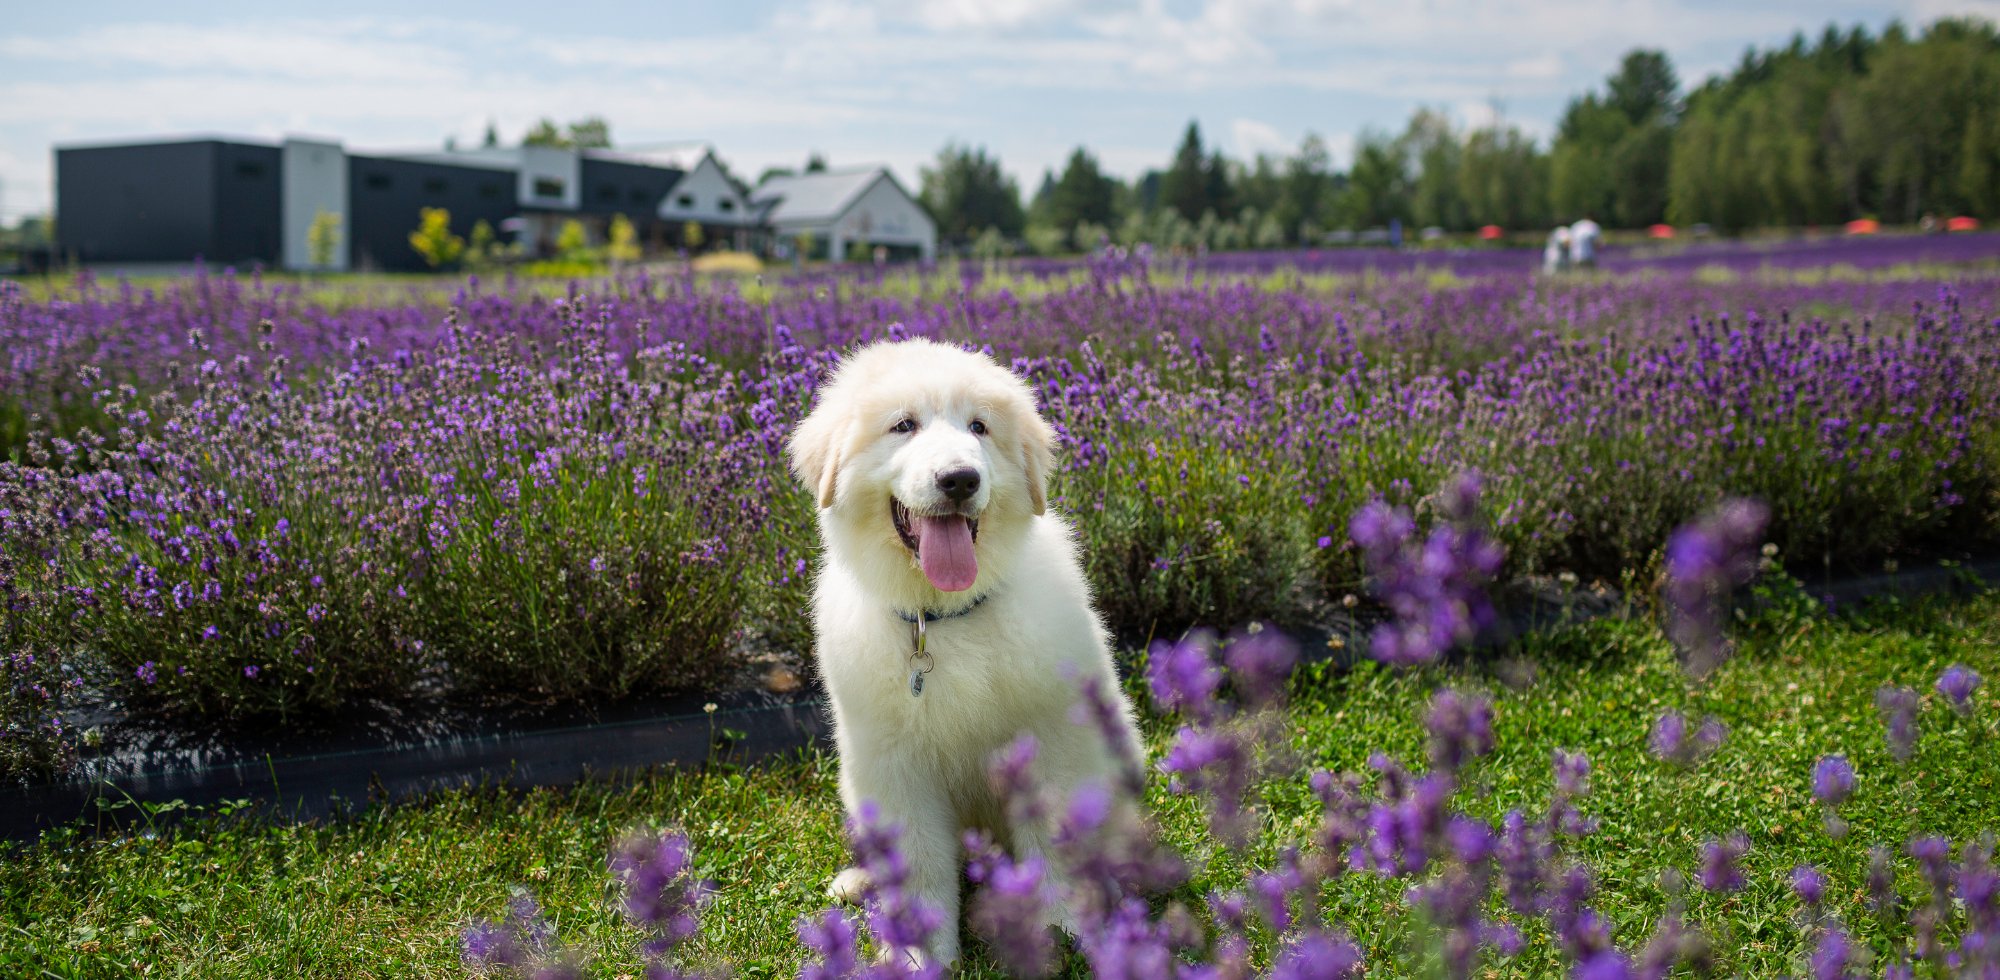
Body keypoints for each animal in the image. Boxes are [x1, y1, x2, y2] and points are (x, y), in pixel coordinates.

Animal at [788, 336, 1152, 964]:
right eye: (903, 425)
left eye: (978, 427)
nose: (959, 479)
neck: (942, 620)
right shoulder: (896, 769)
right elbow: (920, 867)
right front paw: (919, 955)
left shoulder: (1051, 743)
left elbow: (1052, 846)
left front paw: (1059, 932)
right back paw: (859, 882)